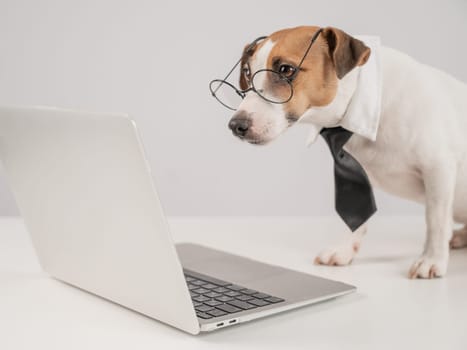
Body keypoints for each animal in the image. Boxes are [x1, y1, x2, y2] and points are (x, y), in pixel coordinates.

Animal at [226, 26, 467, 278]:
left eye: (285, 69)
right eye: (246, 72)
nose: (236, 125)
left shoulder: (438, 168)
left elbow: (435, 219)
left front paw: (432, 259)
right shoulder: (356, 174)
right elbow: (355, 216)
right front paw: (344, 249)